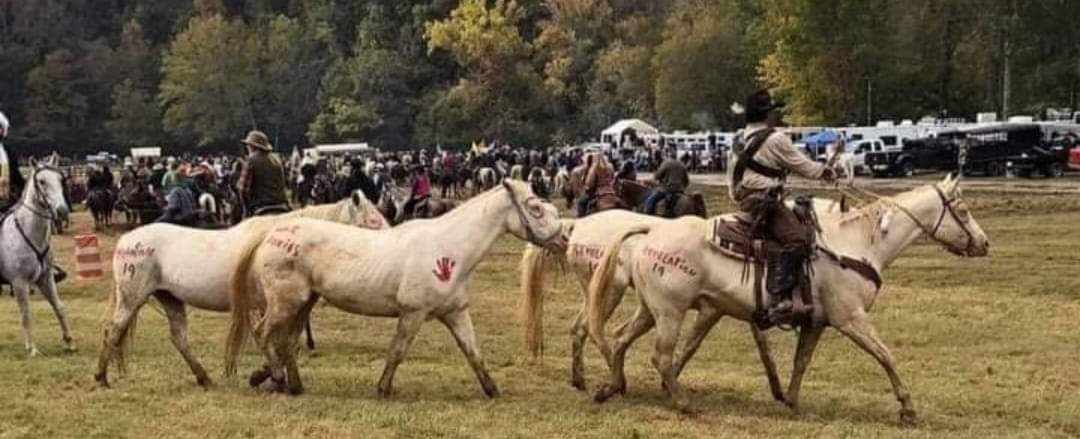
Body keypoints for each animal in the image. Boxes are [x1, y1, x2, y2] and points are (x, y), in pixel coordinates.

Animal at [0, 155, 73, 354]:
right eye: (42, 181)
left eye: (61, 179)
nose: (62, 211)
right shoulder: (19, 283)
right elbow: (26, 314)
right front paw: (32, 348)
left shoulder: (45, 279)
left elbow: (59, 307)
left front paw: (69, 341)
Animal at [226, 180, 565, 395]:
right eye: (535, 209)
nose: (563, 240)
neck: (449, 249)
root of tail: (272, 234)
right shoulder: (413, 313)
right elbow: (398, 351)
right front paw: (383, 388)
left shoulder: (455, 312)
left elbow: (473, 352)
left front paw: (492, 389)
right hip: (286, 303)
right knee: (263, 333)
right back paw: (273, 377)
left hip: (303, 303)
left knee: (285, 342)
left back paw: (290, 384)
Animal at [583, 176, 989, 426]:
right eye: (962, 211)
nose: (984, 243)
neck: (857, 244)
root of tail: (650, 232)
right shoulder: (850, 318)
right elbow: (885, 355)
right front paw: (907, 408)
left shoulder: (816, 322)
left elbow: (801, 362)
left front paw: (791, 401)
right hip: (670, 312)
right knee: (661, 355)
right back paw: (681, 402)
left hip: (650, 310)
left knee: (619, 338)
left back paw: (611, 387)